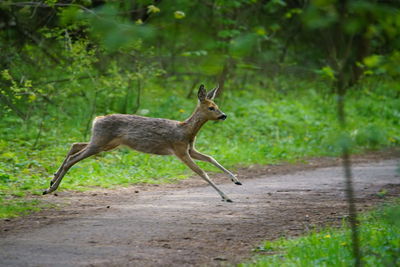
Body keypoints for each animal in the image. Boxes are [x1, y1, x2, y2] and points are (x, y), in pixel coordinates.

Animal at [45, 85, 242, 202]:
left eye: (217, 106)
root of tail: (96, 119)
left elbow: (210, 158)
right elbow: (201, 172)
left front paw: (236, 180)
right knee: (74, 157)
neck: (186, 131)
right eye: (211, 107)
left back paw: (52, 178)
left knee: (75, 145)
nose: (224, 115)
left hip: (105, 142)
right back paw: (51, 188)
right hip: (101, 142)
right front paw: (226, 196)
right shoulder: (180, 150)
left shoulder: (190, 149)